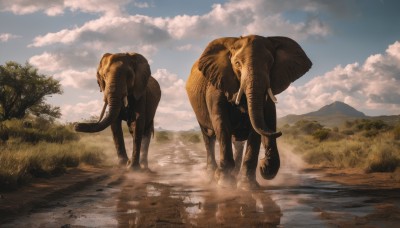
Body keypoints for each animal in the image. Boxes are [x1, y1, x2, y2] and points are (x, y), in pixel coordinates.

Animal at [185, 34, 312, 190]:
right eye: (237, 63)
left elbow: (257, 126)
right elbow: (222, 124)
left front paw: (248, 186)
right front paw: (225, 184)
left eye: (270, 63)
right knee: (209, 137)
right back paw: (211, 177)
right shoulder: (216, 86)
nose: (264, 164)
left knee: (237, 143)